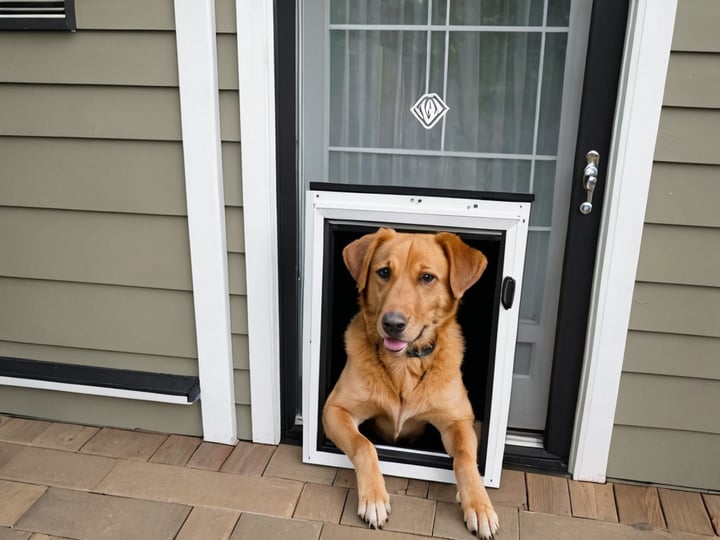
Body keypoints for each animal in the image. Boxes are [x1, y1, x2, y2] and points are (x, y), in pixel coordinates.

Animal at [324, 229, 498, 540]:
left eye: (427, 277)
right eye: (383, 272)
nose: (392, 324)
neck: (404, 365)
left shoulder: (458, 421)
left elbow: (465, 458)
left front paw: (478, 505)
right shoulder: (335, 409)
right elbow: (364, 445)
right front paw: (374, 498)